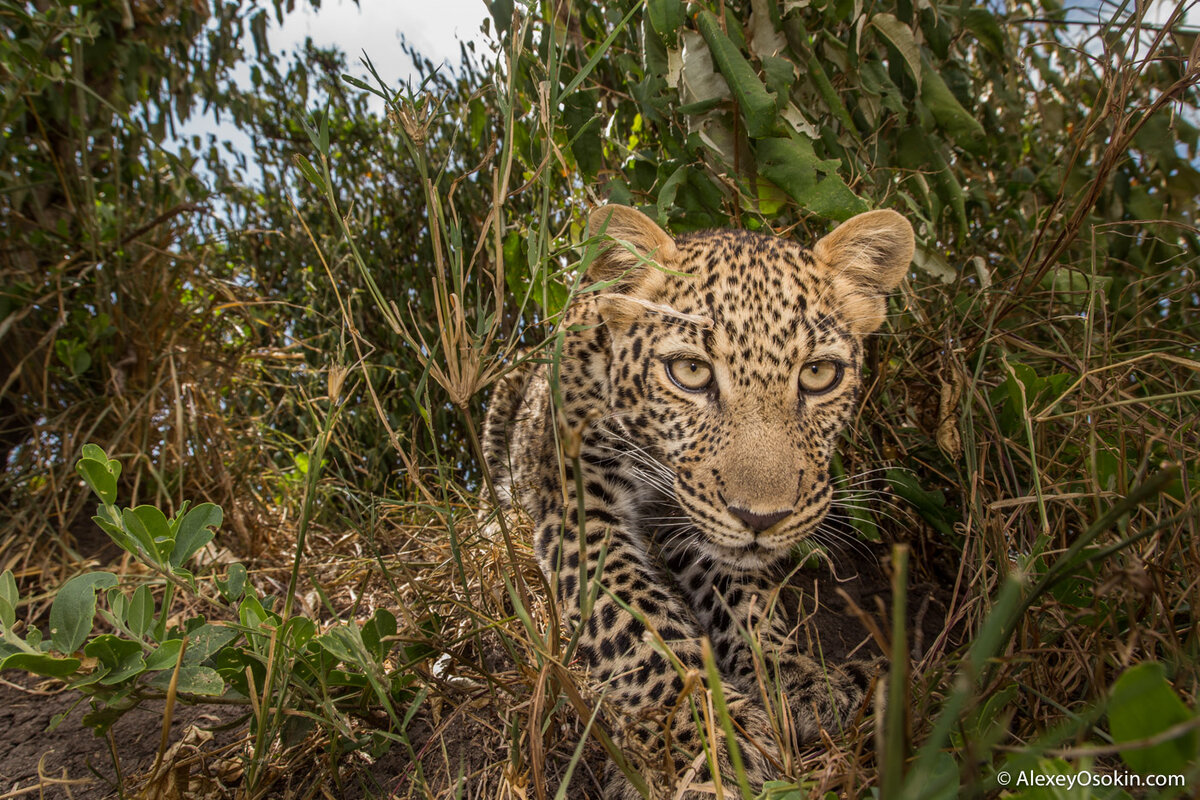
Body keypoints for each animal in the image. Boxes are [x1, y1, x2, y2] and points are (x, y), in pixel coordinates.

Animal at [482, 203, 912, 796]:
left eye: (819, 374)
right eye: (690, 372)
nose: (762, 518)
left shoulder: (694, 521)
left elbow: (747, 602)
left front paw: (800, 677)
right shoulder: (578, 505)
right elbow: (635, 618)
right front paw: (705, 734)